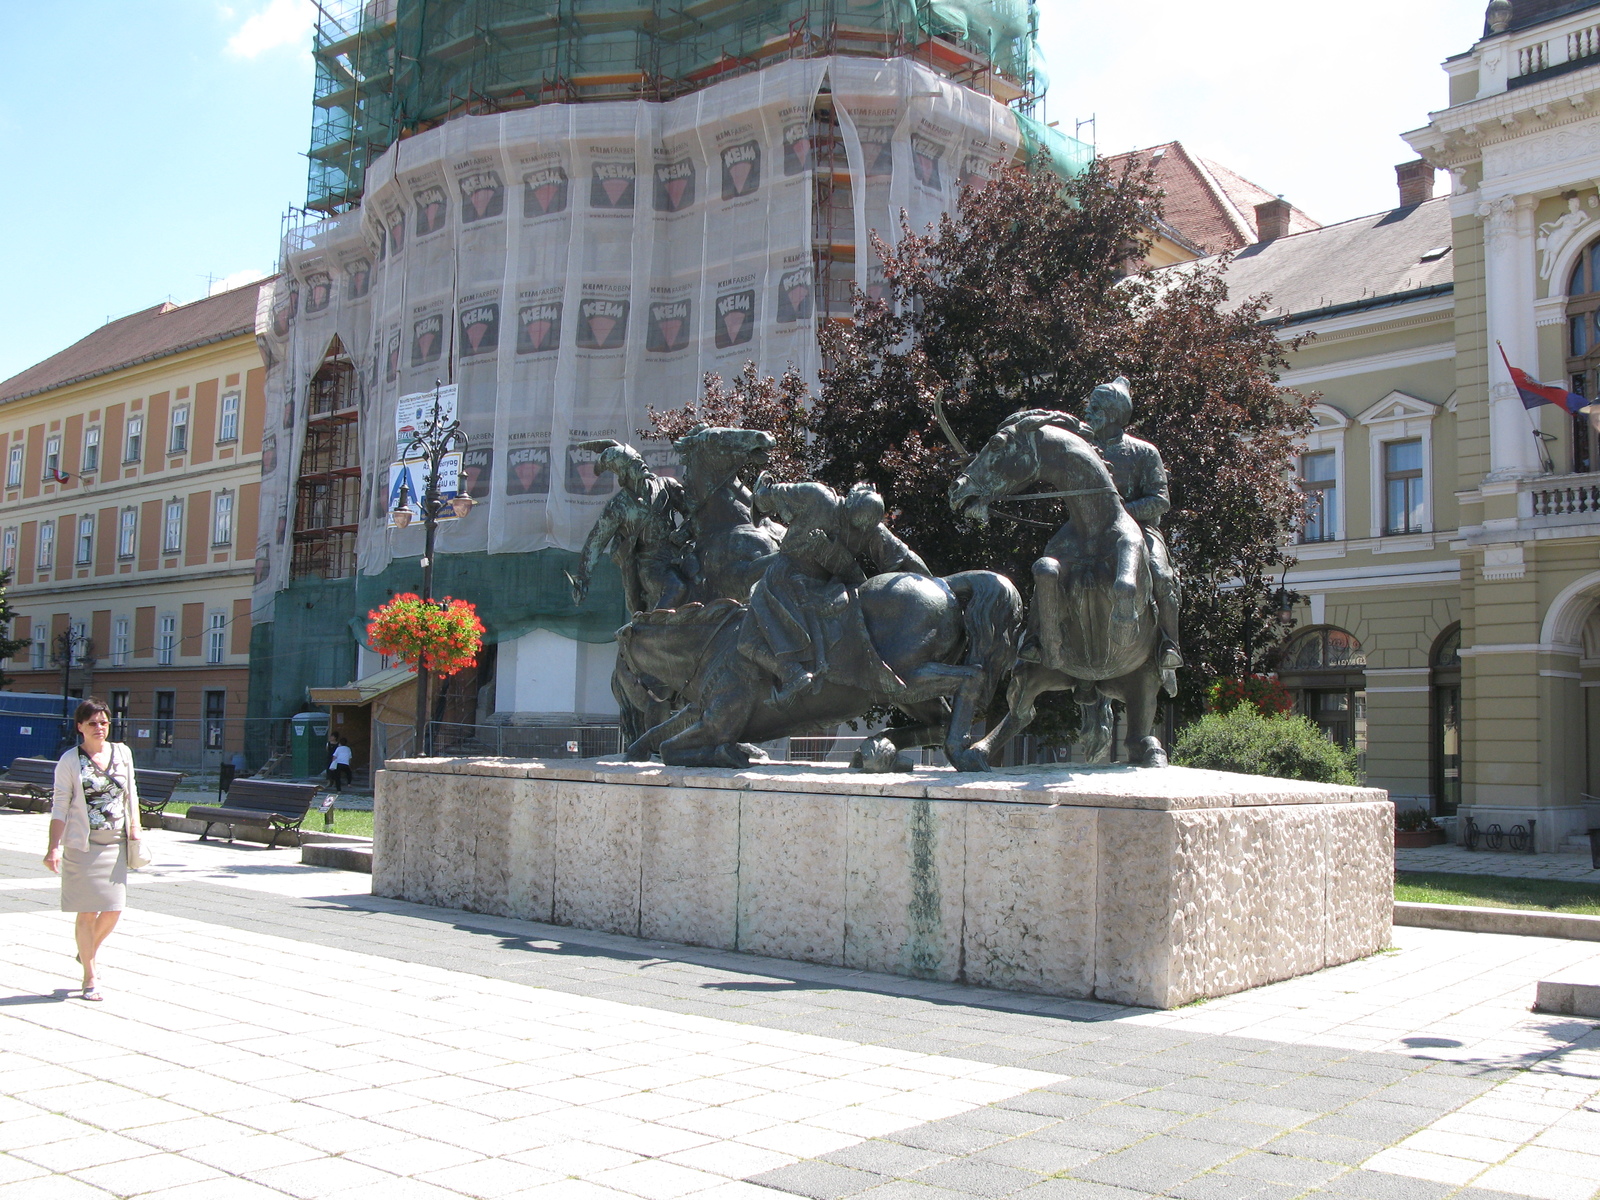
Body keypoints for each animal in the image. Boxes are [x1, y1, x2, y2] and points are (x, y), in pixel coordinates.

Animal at [940, 412, 1171, 771]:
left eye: (996, 443)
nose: (956, 489)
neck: (1093, 526)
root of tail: (1092, 684)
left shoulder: (1131, 551)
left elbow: (1126, 578)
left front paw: (1122, 626)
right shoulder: (1055, 567)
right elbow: (1044, 568)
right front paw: (1050, 643)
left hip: (1145, 677)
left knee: (1139, 725)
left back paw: (1151, 751)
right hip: (1031, 677)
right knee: (1022, 714)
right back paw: (978, 751)